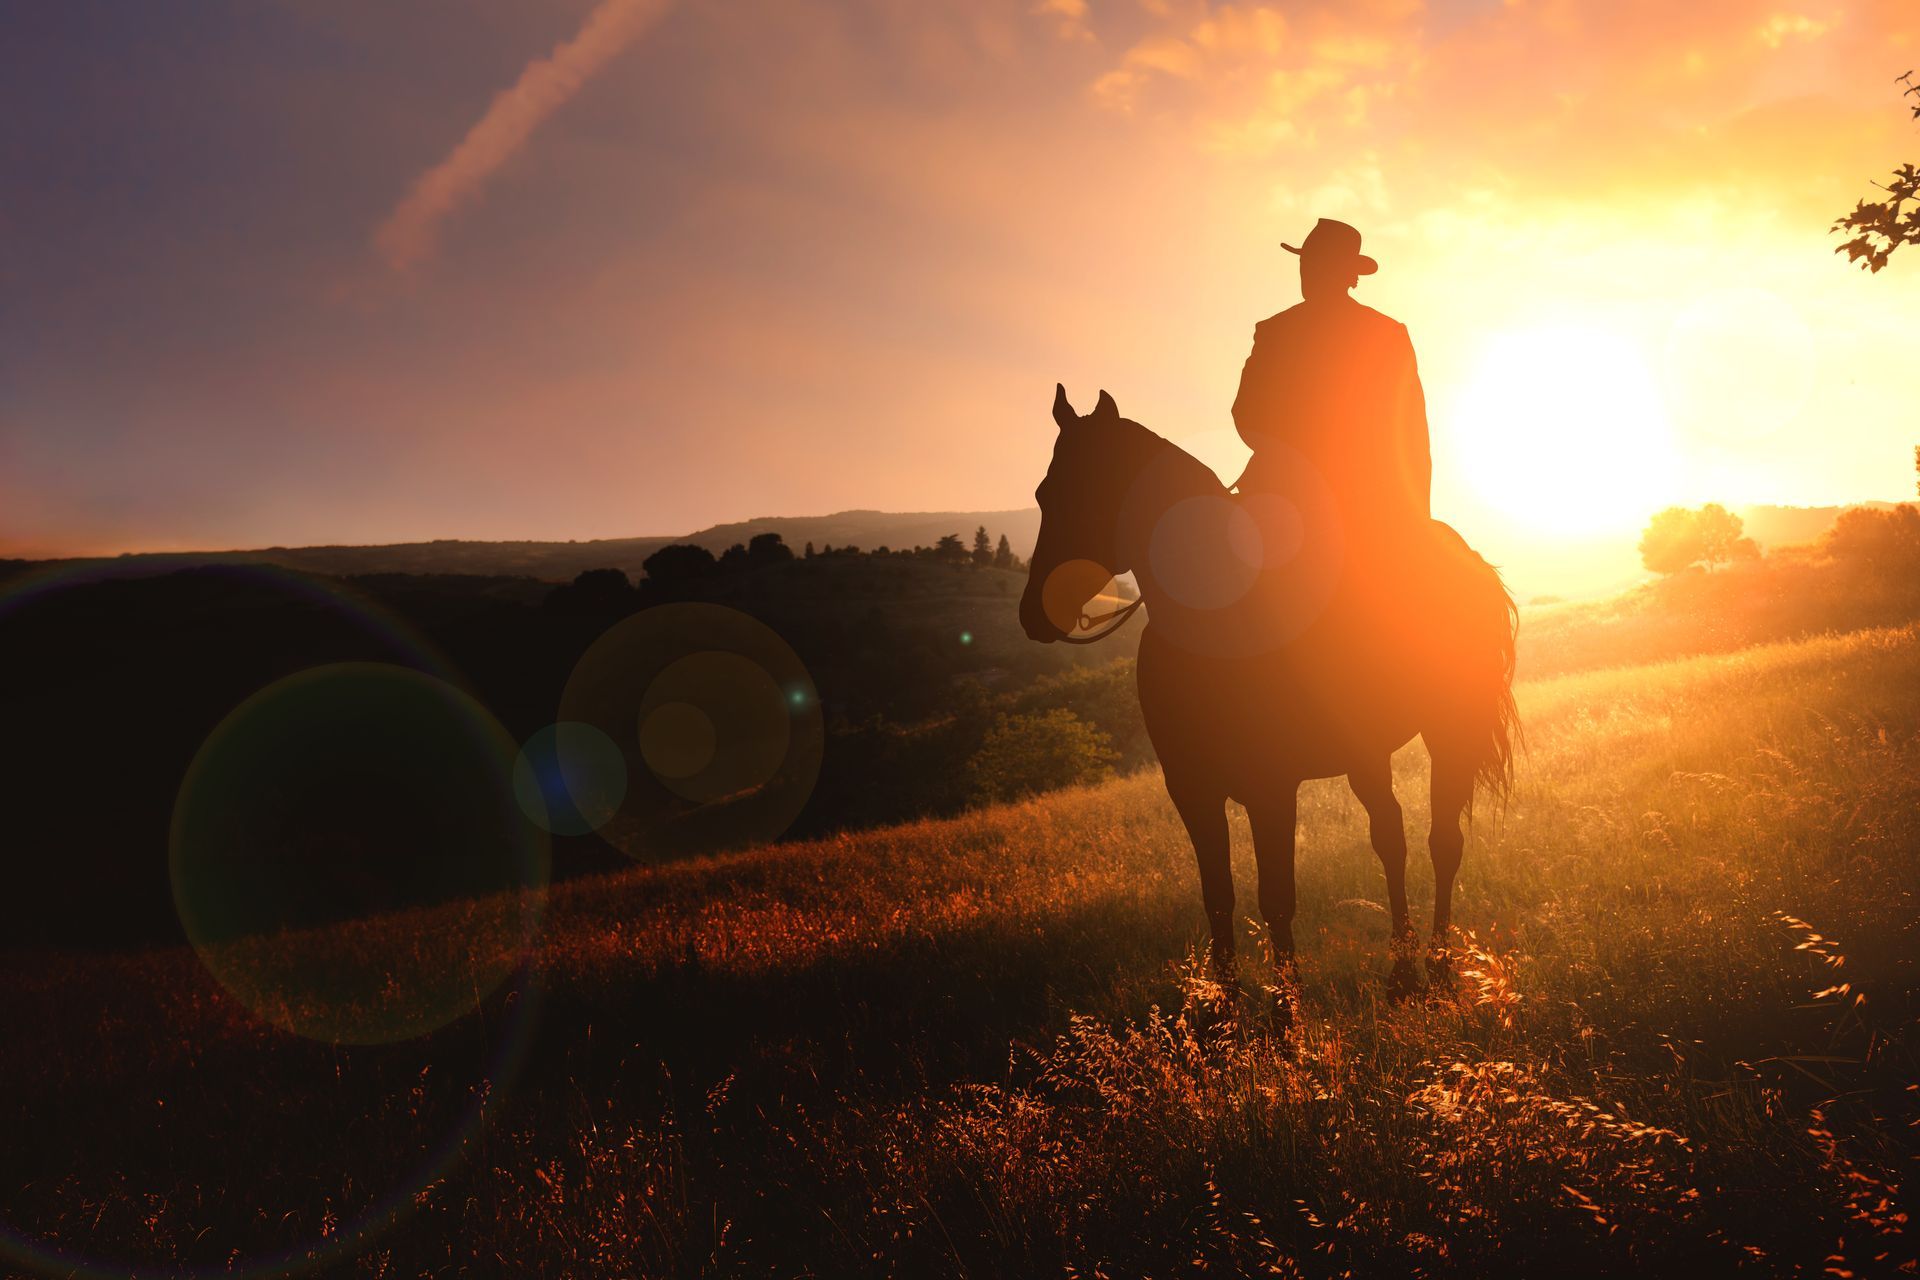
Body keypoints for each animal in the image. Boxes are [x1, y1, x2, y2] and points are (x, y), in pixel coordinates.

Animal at [1021, 379, 1512, 997]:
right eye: (1044, 493)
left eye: (1089, 491)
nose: (1035, 614)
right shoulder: (1192, 791)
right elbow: (1218, 898)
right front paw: (1225, 1011)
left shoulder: (1270, 790)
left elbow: (1276, 899)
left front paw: (1284, 1014)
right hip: (1366, 754)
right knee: (1391, 837)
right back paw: (1402, 970)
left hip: (1449, 729)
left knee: (1442, 842)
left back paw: (1439, 965)